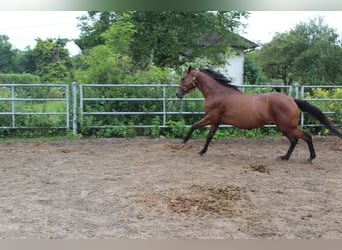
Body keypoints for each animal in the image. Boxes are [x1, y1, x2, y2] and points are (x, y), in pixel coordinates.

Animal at [176, 67, 342, 164]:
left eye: (183, 78)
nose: (177, 94)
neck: (218, 93)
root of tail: (292, 99)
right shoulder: (216, 121)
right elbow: (209, 136)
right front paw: (202, 151)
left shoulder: (212, 117)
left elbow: (194, 126)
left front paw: (184, 141)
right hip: (283, 127)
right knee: (294, 140)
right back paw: (285, 157)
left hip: (287, 126)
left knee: (306, 136)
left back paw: (310, 158)